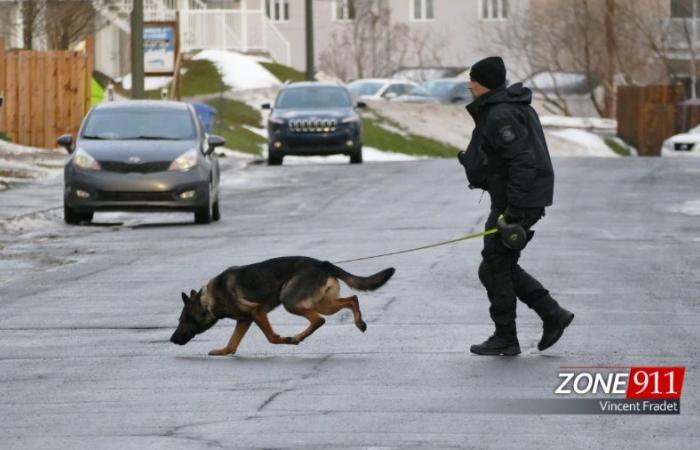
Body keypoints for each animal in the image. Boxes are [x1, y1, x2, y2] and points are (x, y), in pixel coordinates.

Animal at [170, 256, 394, 356]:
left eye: (182, 320)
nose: (171, 339)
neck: (207, 300)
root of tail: (322, 263)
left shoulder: (256, 312)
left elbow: (271, 338)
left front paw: (283, 339)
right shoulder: (244, 320)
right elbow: (233, 344)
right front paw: (223, 351)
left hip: (289, 301)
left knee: (319, 320)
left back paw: (297, 337)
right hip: (325, 304)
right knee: (352, 299)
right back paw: (360, 322)